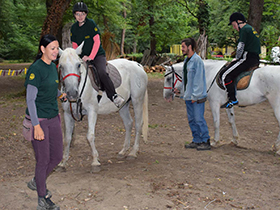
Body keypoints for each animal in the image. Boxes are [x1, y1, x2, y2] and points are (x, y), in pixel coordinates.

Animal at [57, 44, 148, 172]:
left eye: (78, 65)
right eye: (61, 66)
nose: (72, 94)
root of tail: (137, 65)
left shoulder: (92, 111)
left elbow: (90, 136)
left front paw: (95, 162)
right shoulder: (67, 114)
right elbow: (67, 139)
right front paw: (63, 163)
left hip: (137, 101)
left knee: (138, 124)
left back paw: (133, 153)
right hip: (123, 105)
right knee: (129, 124)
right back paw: (123, 151)